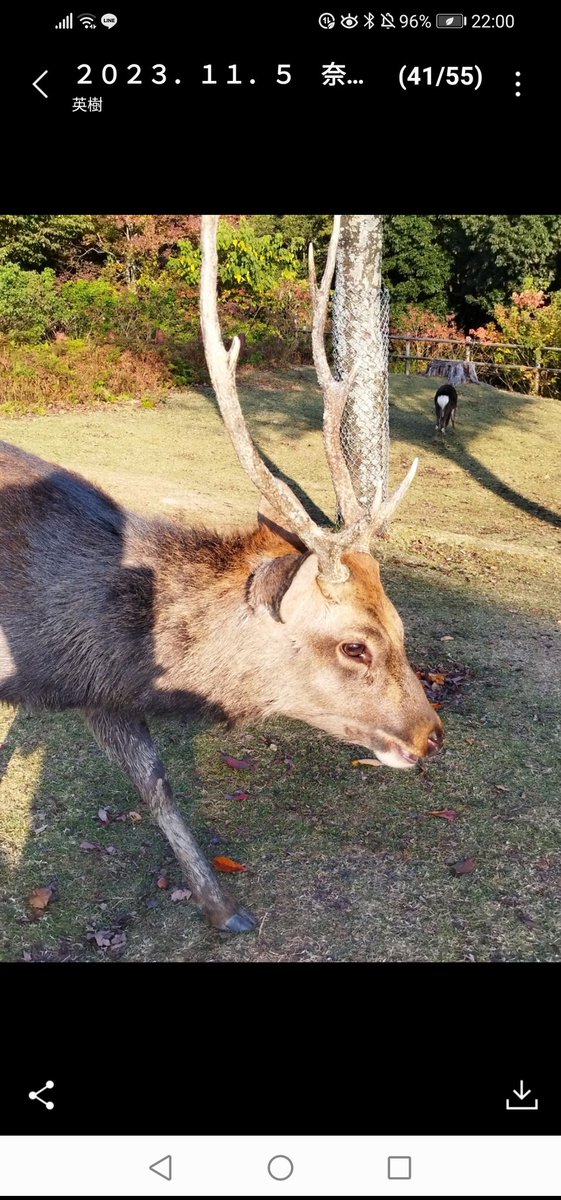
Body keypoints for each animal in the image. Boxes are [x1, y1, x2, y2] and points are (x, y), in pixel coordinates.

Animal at [0, 215, 443, 935]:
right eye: (354, 645)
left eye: (400, 623)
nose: (431, 735)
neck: (39, 661)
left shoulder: (103, 694)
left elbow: (156, 783)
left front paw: (223, 907)